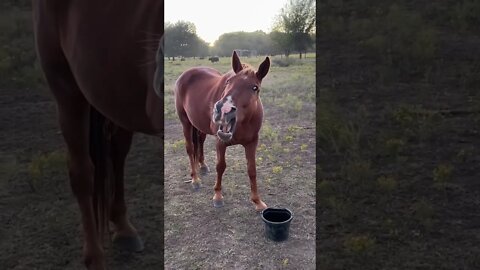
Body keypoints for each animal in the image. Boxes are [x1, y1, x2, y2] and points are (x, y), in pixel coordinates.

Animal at [174, 50, 270, 211]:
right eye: (228, 82)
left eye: (255, 88)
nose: (223, 109)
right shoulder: (220, 142)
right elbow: (221, 166)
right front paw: (218, 197)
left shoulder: (252, 143)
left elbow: (252, 170)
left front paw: (257, 201)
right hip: (185, 122)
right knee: (190, 148)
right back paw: (195, 180)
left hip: (199, 126)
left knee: (199, 141)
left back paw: (202, 166)